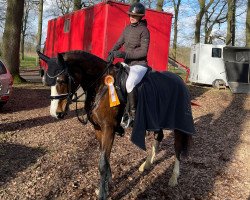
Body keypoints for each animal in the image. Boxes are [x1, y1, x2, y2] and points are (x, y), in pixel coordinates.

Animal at [37, 50, 194, 200]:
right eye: (46, 82)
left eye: (62, 80)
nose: (55, 113)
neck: (101, 85)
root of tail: (178, 79)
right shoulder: (98, 129)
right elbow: (104, 159)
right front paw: (106, 185)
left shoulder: (109, 129)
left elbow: (102, 163)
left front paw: (102, 193)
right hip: (156, 119)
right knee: (159, 136)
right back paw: (146, 165)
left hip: (178, 124)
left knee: (177, 147)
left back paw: (174, 177)